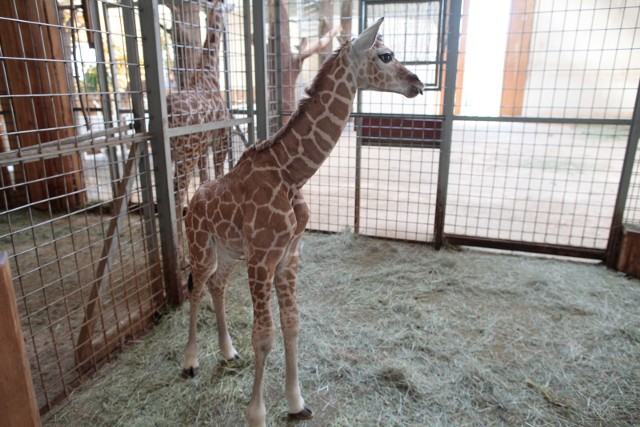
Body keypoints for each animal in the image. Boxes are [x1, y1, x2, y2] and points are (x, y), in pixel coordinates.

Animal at [184, 18, 424, 427]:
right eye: (385, 55)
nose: (418, 84)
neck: (291, 174)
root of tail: (190, 202)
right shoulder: (262, 259)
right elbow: (264, 334)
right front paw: (257, 414)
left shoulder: (288, 256)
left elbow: (292, 323)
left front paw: (297, 403)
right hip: (201, 248)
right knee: (196, 288)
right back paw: (190, 362)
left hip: (228, 253)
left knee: (216, 285)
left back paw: (228, 353)